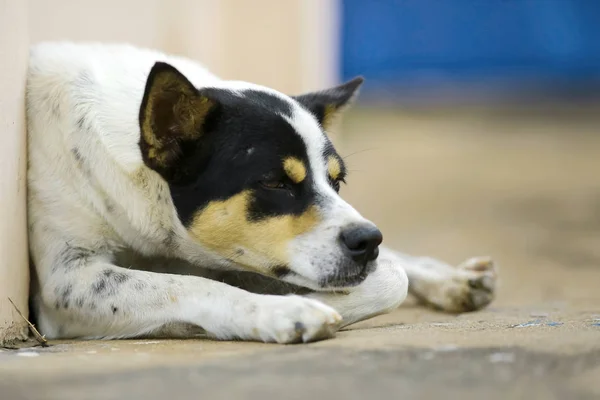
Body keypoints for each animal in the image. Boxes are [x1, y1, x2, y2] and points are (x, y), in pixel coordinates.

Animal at [25, 43, 496, 344]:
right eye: (275, 183)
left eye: (337, 180)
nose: (368, 241)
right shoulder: (67, 281)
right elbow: (194, 286)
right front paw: (285, 310)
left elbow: (393, 275)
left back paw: (455, 279)